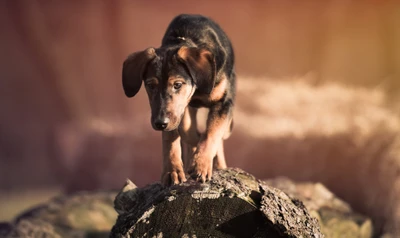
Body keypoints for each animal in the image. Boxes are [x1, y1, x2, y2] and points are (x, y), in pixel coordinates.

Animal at [121, 13, 234, 185]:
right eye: (150, 85)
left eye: (177, 84)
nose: (160, 123)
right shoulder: (173, 112)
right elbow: (175, 136)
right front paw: (172, 171)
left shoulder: (223, 102)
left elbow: (211, 133)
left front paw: (201, 165)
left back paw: (218, 164)